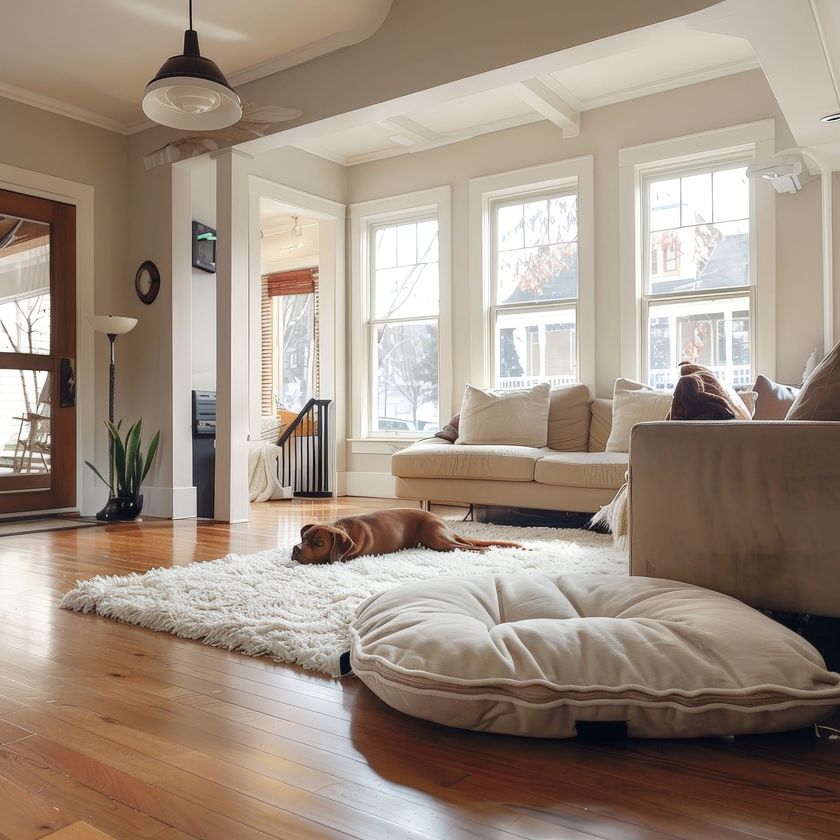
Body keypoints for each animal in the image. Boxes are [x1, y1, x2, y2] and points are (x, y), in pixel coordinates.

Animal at [292, 506, 520, 564]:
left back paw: (482, 551)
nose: (295, 549)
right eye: (303, 538)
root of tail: (444, 523)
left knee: (467, 547)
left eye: (319, 543)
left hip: (435, 538)